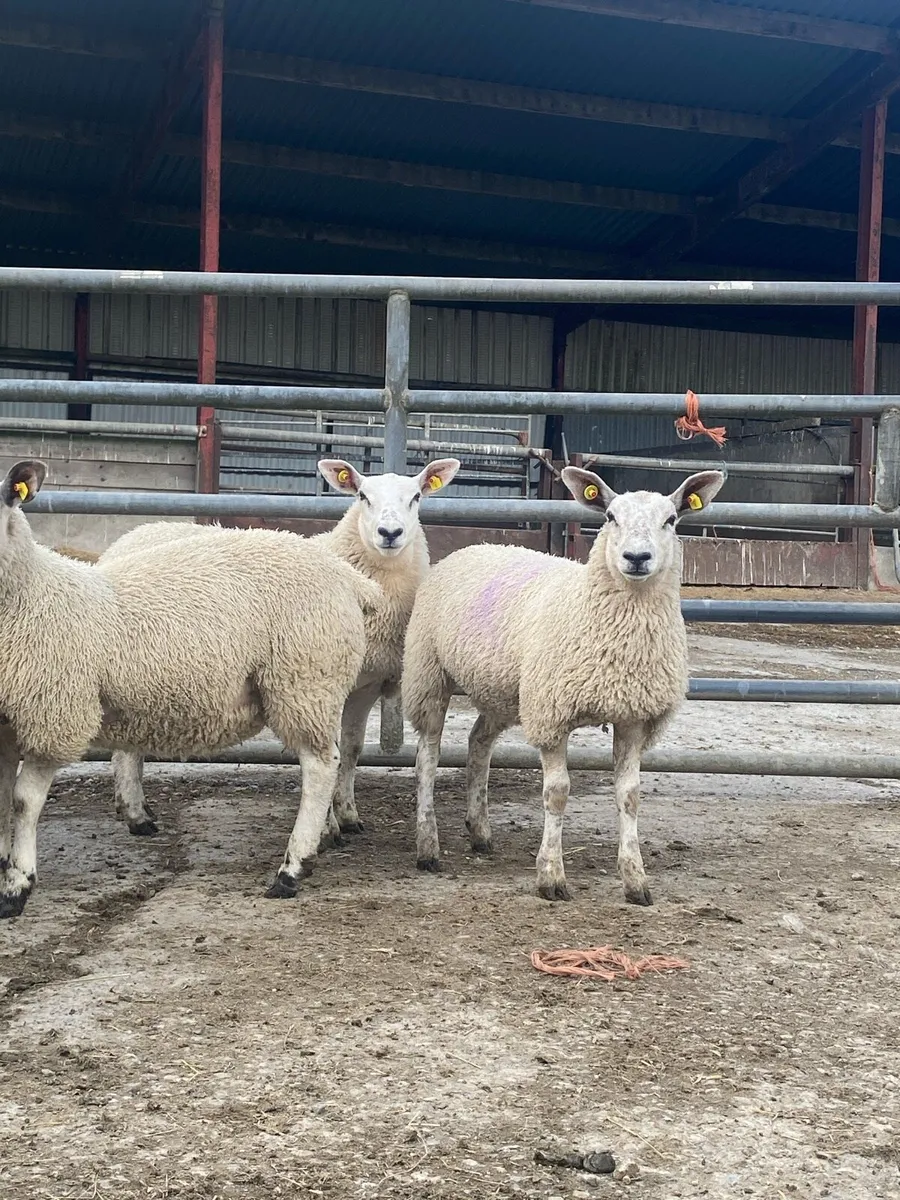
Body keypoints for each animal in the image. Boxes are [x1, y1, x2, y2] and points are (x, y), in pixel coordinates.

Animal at [0, 458, 383, 918]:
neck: (33, 590)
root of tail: (348, 577)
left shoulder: (53, 717)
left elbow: (22, 802)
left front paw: (16, 886)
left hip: (304, 681)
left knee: (322, 766)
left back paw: (292, 869)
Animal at [99, 457, 461, 842]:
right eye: (362, 496)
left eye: (417, 496)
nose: (389, 533)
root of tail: (133, 533)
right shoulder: (325, 683)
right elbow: (328, 751)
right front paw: (328, 827)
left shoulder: (365, 685)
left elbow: (351, 748)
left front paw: (348, 813)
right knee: (126, 752)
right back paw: (137, 814)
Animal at [401, 466, 725, 906]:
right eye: (610, 516)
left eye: (671, 520)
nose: (636, 558)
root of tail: (476, 545)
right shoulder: (551, 714)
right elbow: (556, 793)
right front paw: (551, 876)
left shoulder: (633, 717)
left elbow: (630, 795)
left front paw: (636, 880)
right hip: (428, 674)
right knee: (427, 760)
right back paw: (427, 846)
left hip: (503, 691)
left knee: (478, 743)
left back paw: (480, 830)